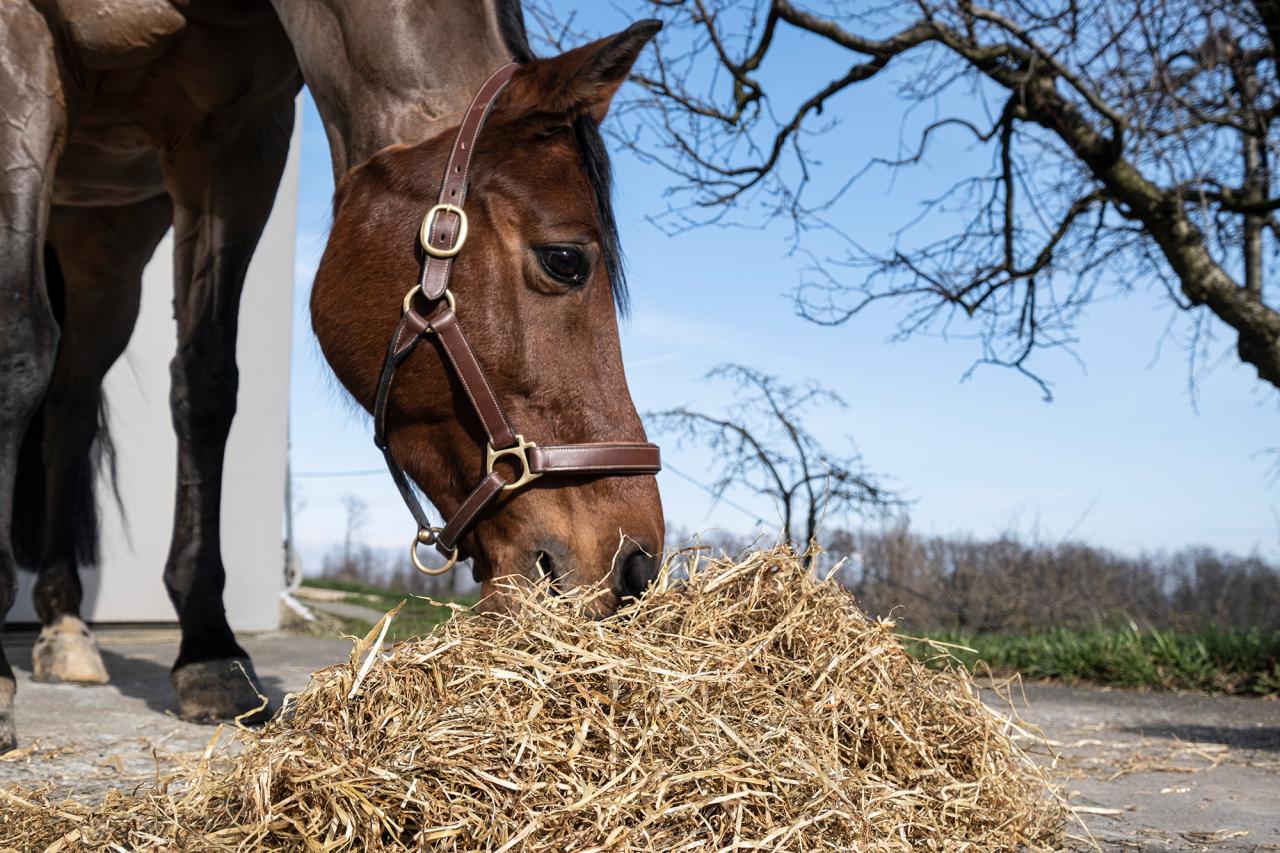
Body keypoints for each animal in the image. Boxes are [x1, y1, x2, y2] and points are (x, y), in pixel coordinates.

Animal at [0, 0, 664, 752]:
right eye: (565, 260)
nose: (637, 566)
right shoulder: (22, 56)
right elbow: (18, 346)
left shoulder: (236, 137)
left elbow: (207, 383)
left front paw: (209, 652)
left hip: (109, 240)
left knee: (71, 413)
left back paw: (64, 625)